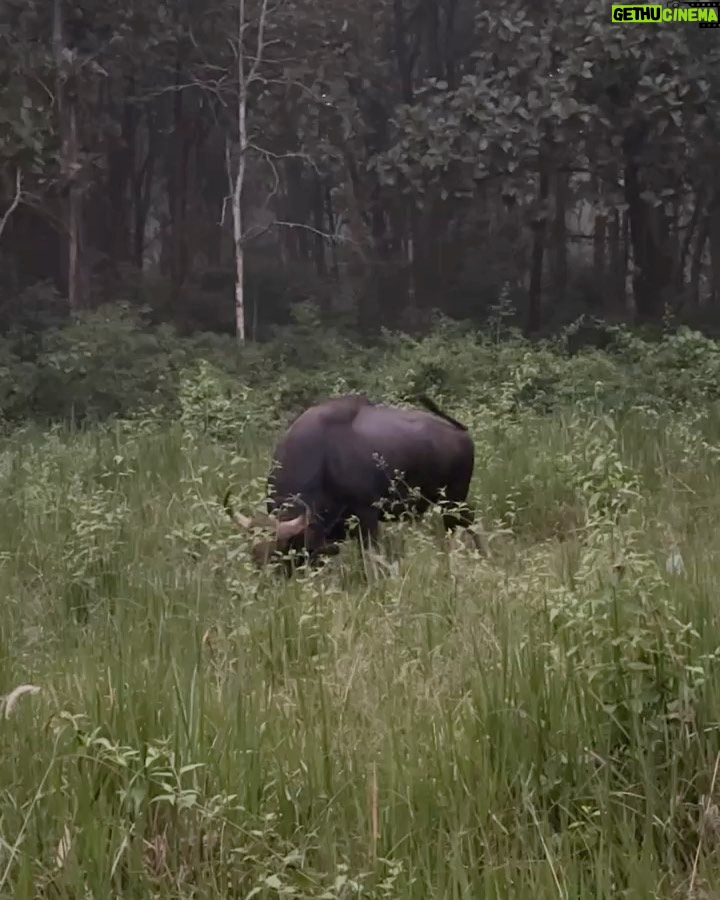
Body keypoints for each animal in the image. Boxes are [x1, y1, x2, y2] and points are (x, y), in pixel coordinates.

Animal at [224, 394, 484, 568]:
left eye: (281, 553)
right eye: (255, 557)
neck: (323, 457)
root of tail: (460, 431)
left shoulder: (367, 515)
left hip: (453, 501)